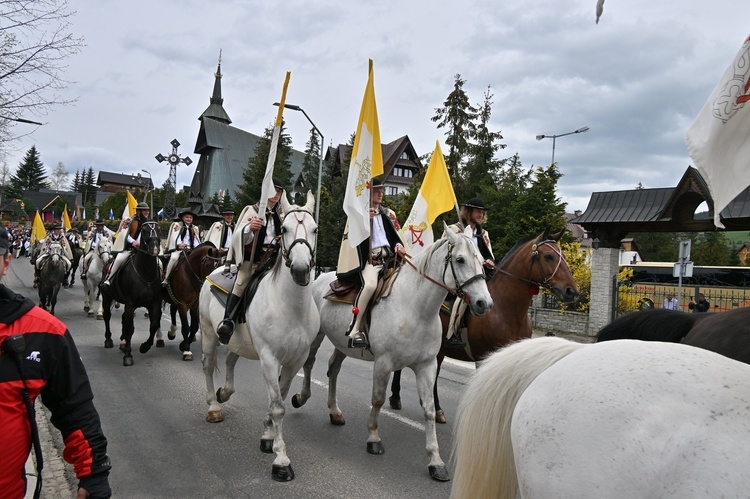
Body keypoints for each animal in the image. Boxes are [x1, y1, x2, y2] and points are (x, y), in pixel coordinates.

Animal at [100, 223, 164, 368]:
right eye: (145, 231)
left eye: (158, 230)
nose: (155, 249)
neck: (146, 273)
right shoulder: (131, 304)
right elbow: (130, 329)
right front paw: (128, 356)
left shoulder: (155, 303)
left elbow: (153, 325)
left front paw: (144, 347)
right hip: (107, 296)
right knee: (107, 316)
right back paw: (108, 340)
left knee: (124, 318)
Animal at [198, 190, 318, 480]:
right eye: (284, 229)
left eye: (315, 229)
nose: (300, 269)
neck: (291, 307)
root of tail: (215, 270)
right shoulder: (270, 359)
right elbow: (278, 406)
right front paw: (281, 460)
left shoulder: (295, 361)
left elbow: (281, 397)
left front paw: (267, 436)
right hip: (208, 332)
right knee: (208, 365)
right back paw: (214, 406)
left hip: (238, 341)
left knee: (230, 360)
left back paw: (225, 392)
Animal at [292, 227, 494, 480]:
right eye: (460, 259)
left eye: (482, 260)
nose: (484, 303)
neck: (416, 309)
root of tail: (320, 277)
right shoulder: (384, 363)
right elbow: (377, 400)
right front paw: (373, 439)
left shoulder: (427, 366)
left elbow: (429, 410)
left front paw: (435, 461)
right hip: (317, 335)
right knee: (309, 363)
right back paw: (301, 397)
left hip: (342, 343)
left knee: (333, 369)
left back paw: (335, 411)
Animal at [390, 229, 580, 422]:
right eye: (548, 256)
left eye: (564, 256)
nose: (572, 291)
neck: (506, 309)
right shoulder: (483, 358)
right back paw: (396, 397)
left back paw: (436, 409)